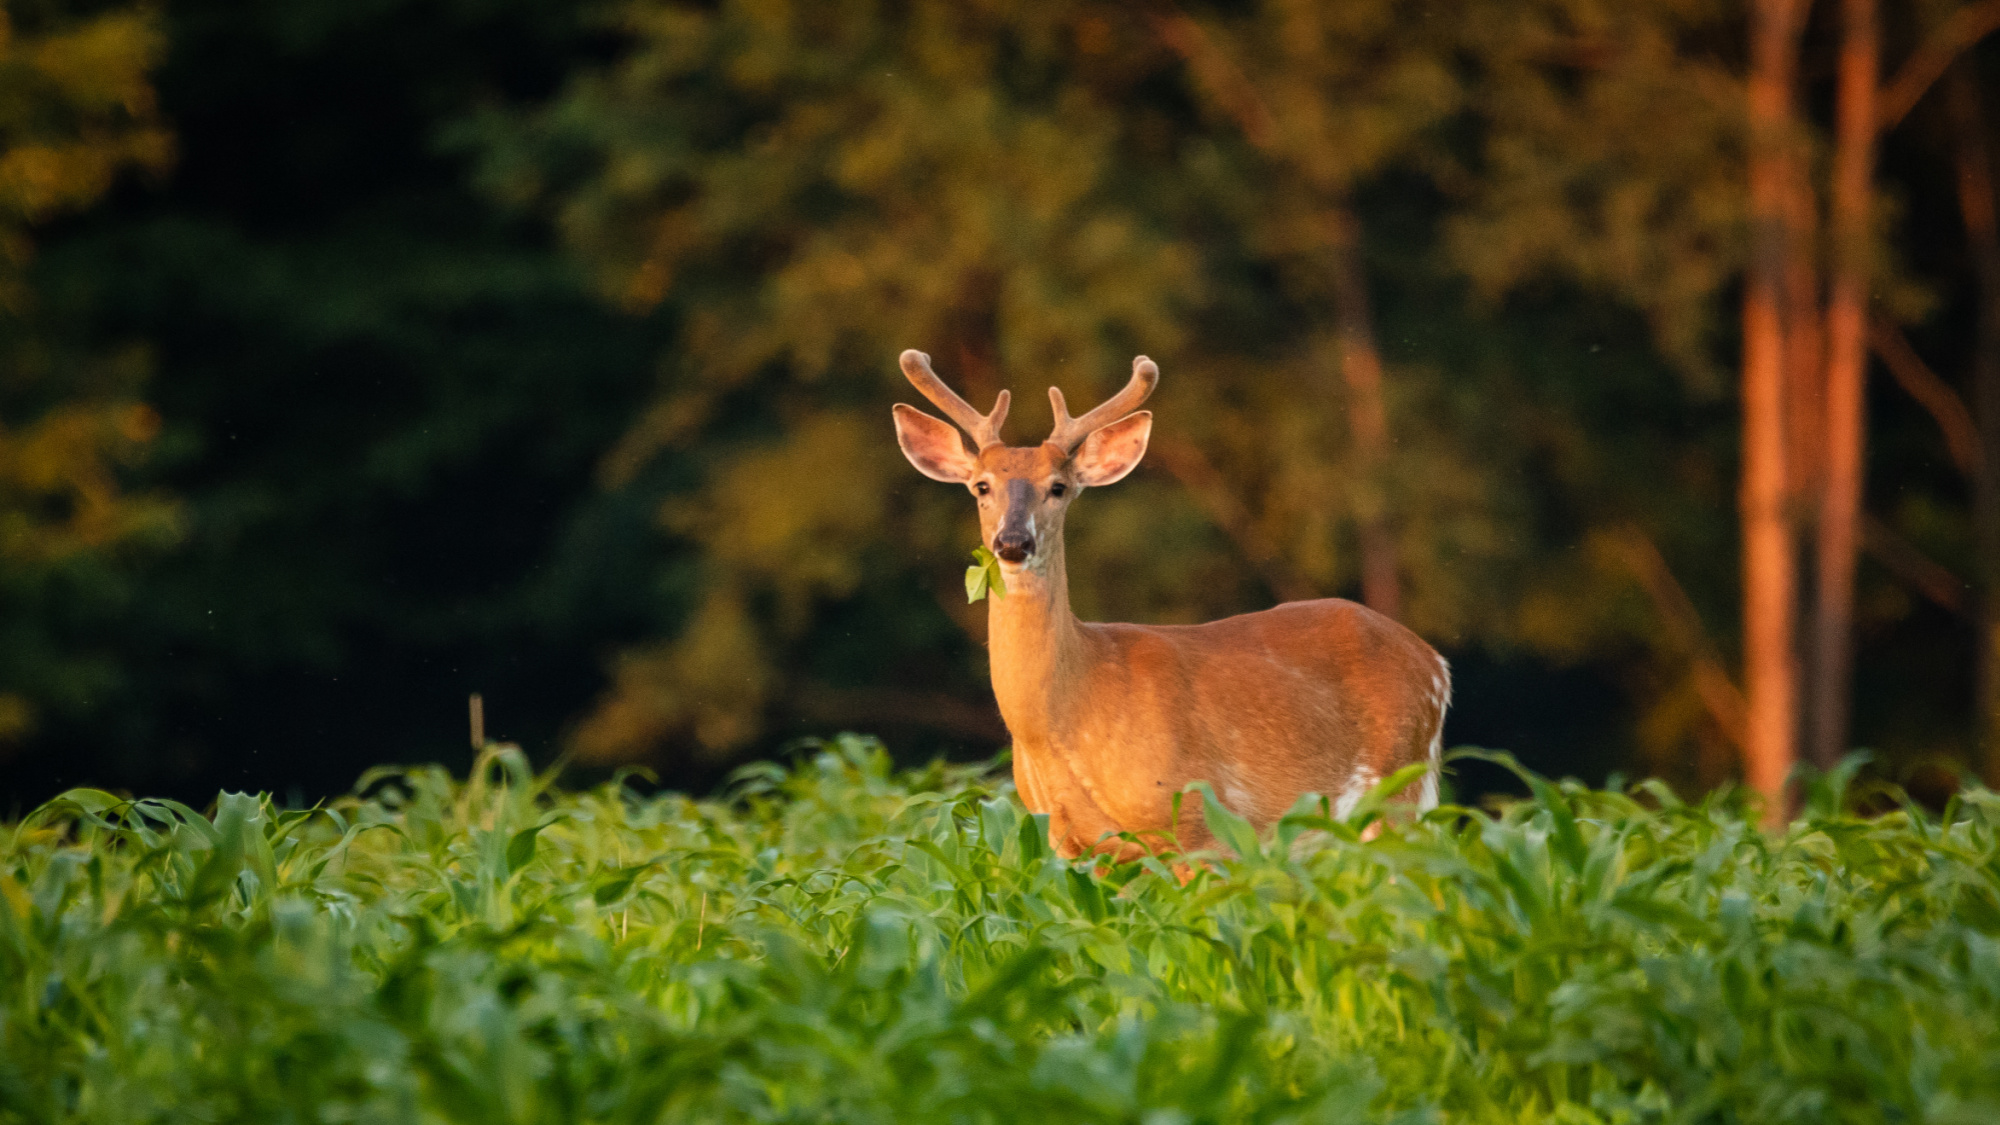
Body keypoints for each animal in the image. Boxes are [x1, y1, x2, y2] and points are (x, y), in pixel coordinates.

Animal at [896, 350, 1456, 856]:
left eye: (1058, 487)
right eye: (980, 486)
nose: (1013, 543)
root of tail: (1435, 663)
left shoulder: (1198, 823)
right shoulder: (1070, 843)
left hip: (1398, 788)